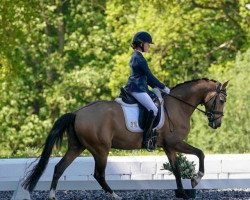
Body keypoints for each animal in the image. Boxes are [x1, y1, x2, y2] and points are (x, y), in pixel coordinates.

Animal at [22, 77, 229, 198]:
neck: (178, 106)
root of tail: (77, 113)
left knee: (59, 168)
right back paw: (115, 196)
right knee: (98, 174)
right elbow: (200, 153)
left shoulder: (169, 146)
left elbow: (177, 170)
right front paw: (196, 179)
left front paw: (183, 193)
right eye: (221, 100)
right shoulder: (175, 143)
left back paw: (52, 196)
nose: (217, 123)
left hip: (77, 147)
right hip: (101, 149)